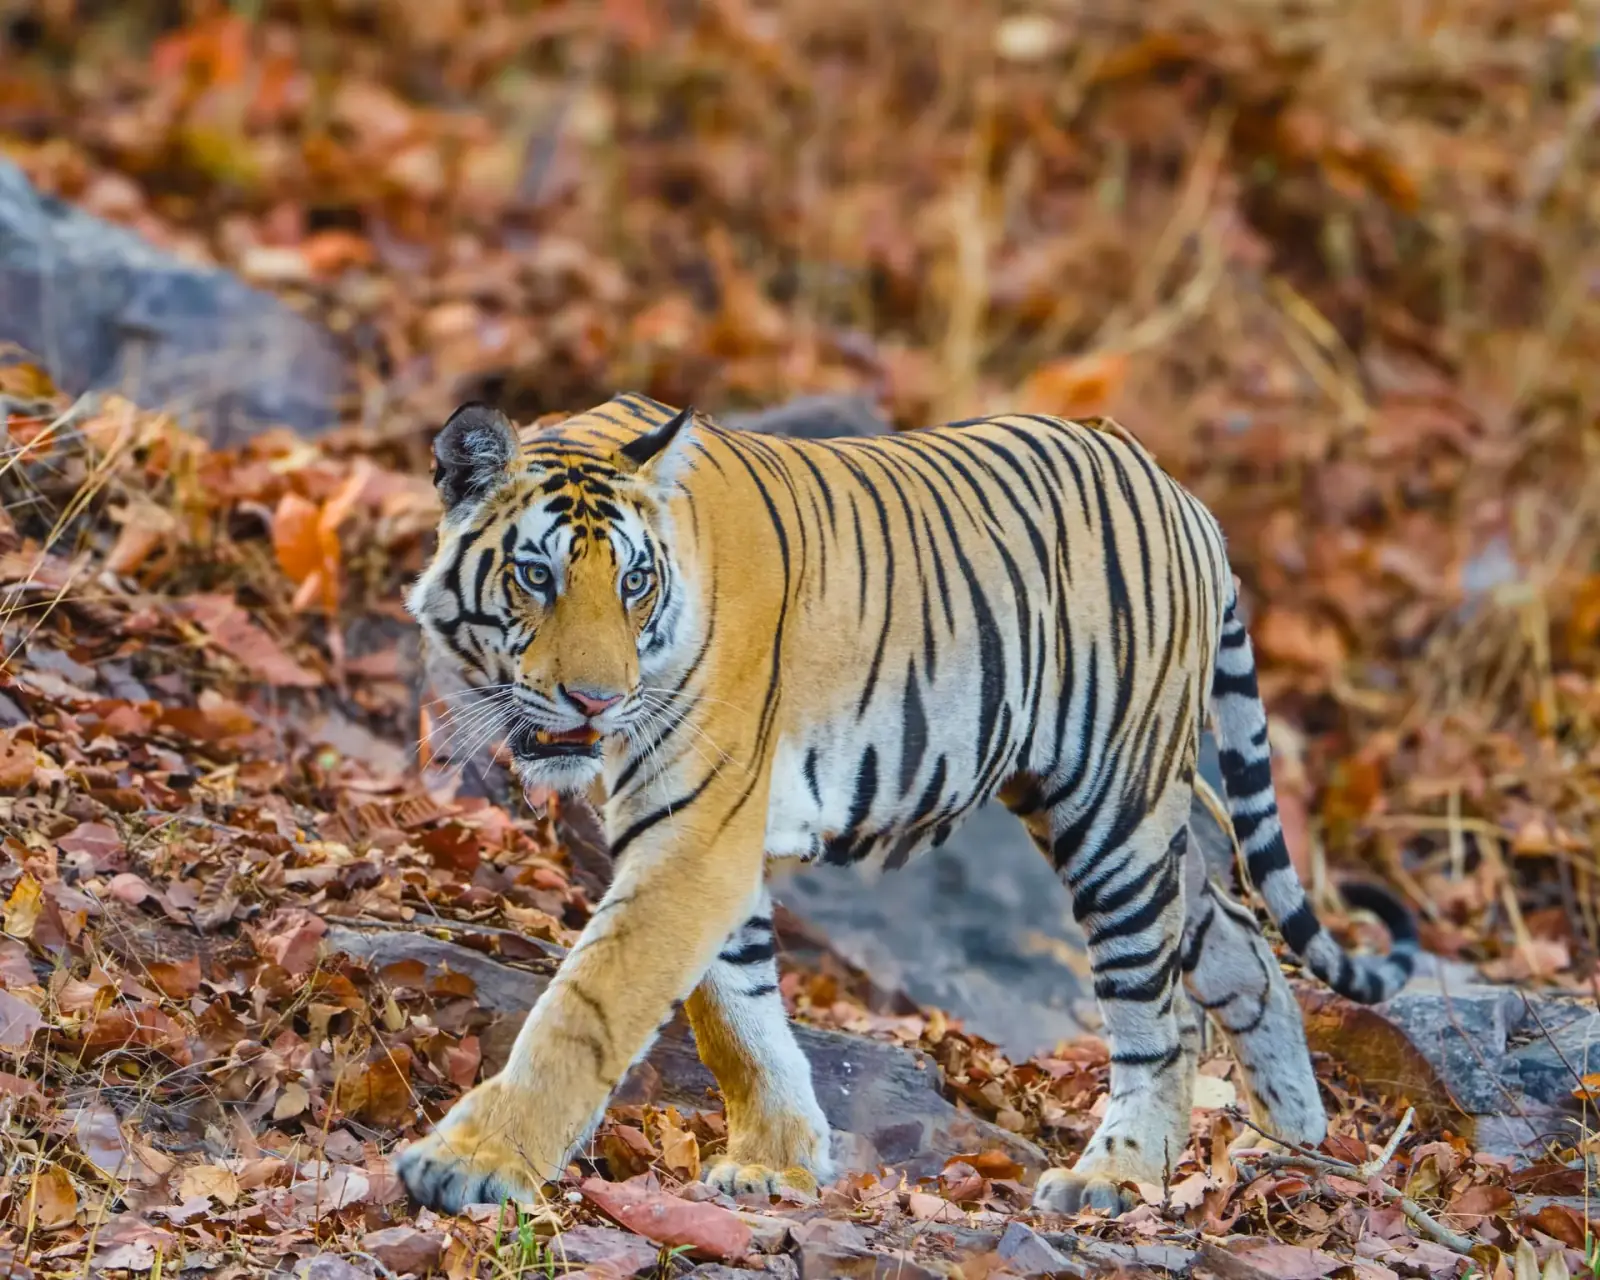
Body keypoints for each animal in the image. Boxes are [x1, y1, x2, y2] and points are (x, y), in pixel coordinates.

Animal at [395, 391, 1418, 1215]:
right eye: (537, 576)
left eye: (634, 582)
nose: (596, 702)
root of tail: (1176, 487)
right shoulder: (711, 839)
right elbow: (738, 1017)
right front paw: (776, 1160)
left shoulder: (695, 836)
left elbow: (587, 1010)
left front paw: (473, 1164)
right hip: (1127, 815)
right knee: (1240, 945)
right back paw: (1291, 1138)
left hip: (1112, 814)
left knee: (1162, 1016)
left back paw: (1117, 1176)